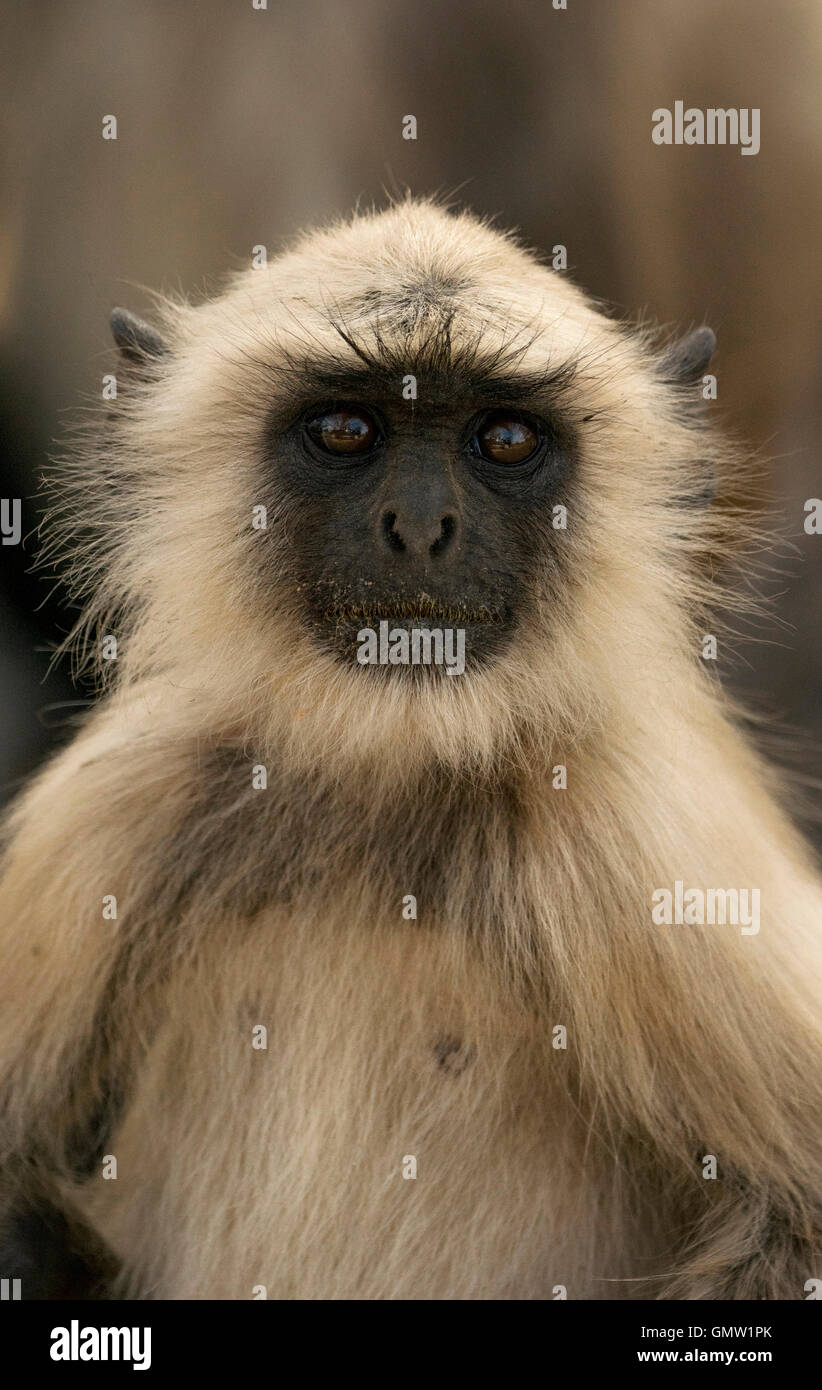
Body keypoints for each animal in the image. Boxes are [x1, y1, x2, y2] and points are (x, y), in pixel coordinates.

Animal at [0, 198, 817, 1301]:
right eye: (347, 430)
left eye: (504, 438)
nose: (422, 526)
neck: (392, 782)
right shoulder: (117, 804)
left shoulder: (649, 834)